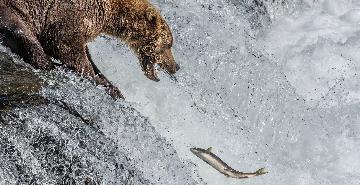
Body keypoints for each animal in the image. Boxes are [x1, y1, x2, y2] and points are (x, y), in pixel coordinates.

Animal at [0, 0, 179, 99]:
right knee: (21, 32)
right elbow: (64, 44)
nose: (176, 66)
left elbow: (87, 55)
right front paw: (97, 80)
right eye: (168, 45)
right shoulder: (70, 13)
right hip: (10, 9)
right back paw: (48, 64)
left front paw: (112, 85)